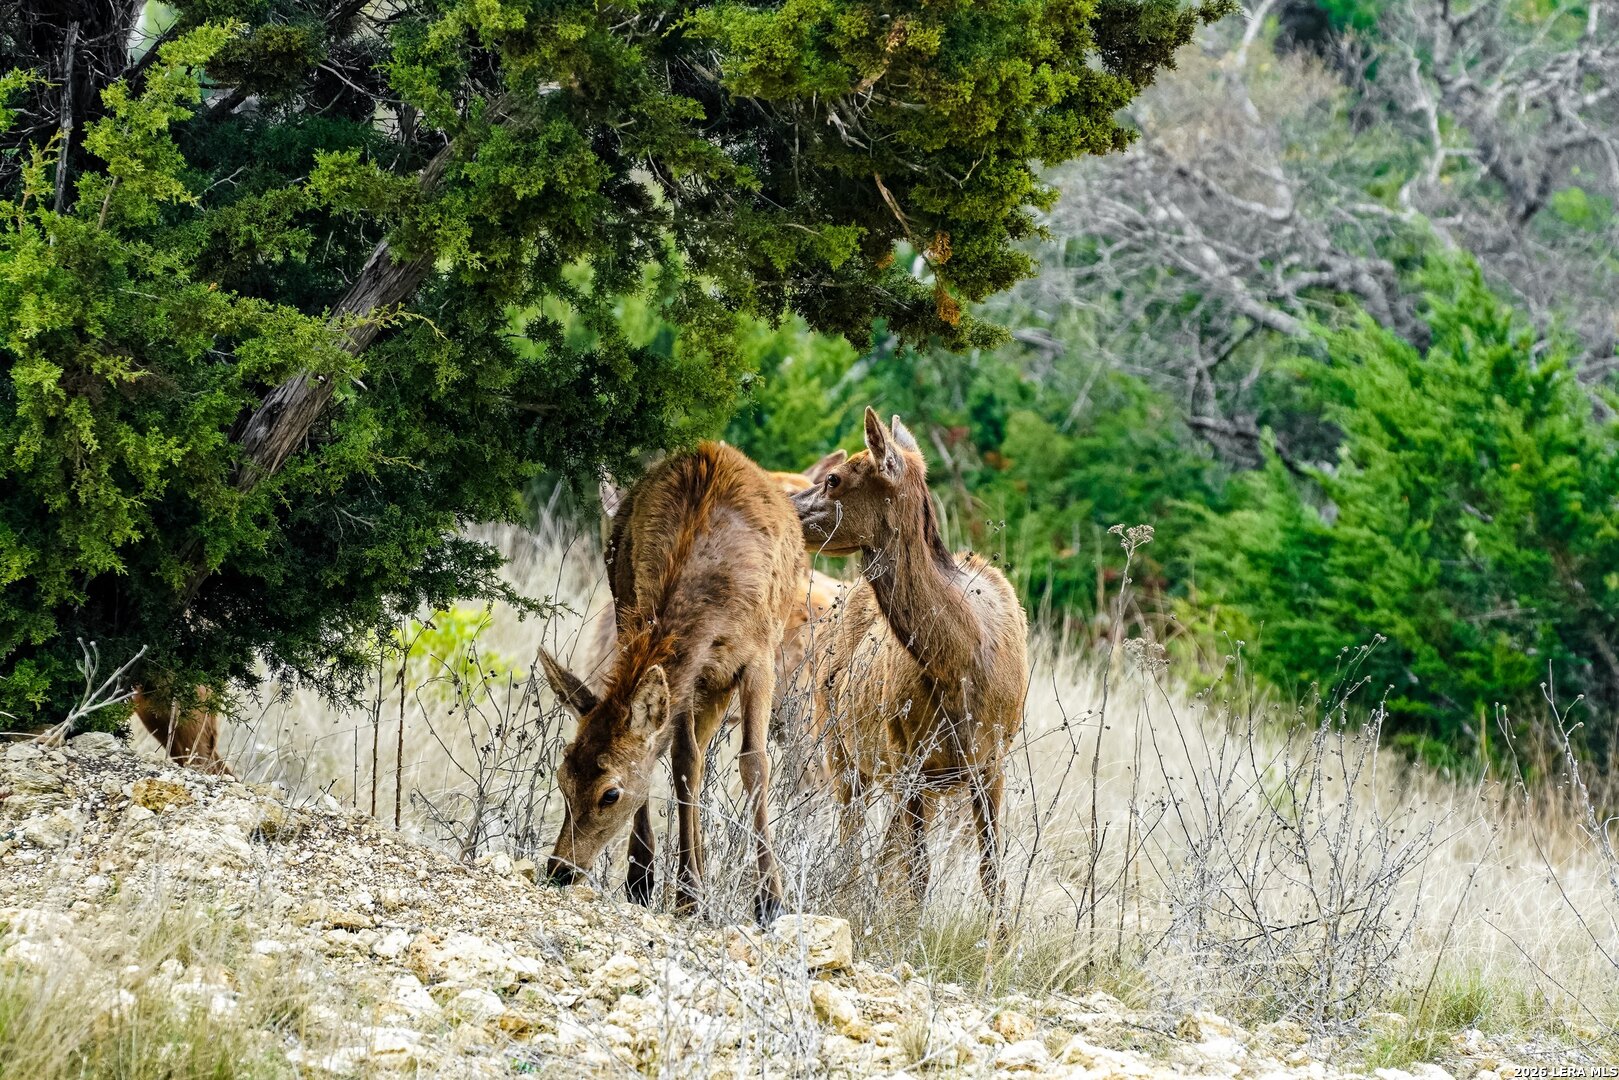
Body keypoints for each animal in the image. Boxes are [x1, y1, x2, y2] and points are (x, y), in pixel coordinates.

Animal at [537, 442, 802, 923]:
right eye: (563, 778)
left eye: (610, 793)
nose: (560, 869)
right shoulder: (678, 660)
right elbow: (683, 762)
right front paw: (684, 891)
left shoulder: (759, 656)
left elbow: (754, 763)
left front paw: (770, 902)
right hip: (631, 616)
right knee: (686, 757)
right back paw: (647, 878)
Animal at [790, 408, 1028, 913]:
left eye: (834, 479)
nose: (781, 507)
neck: (961, 665)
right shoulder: (908, 758)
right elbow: (918, 873)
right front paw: (903, 931)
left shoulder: (991, 761)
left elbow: (991, 874)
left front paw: (1000, 937)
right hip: (841, 746)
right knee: (855, 842)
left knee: (882, 851)